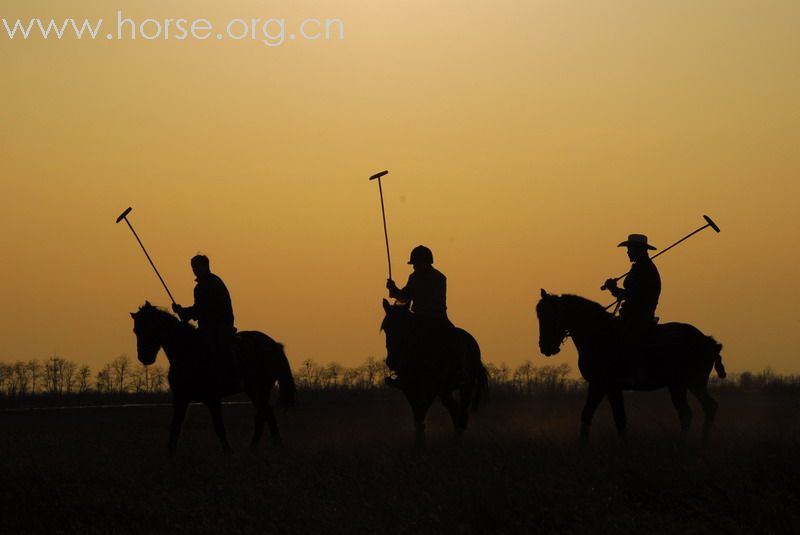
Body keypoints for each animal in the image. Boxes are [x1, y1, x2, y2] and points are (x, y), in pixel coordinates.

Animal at [130, 304, 296, 454]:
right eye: (136, 330)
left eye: (150, 327)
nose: (144, 357)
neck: (189, 351)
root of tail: (275, 345)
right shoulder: (180, 398)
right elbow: (175, 426)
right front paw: (170, 452)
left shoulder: (213, 399)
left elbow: (219, 427)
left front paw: (229, 452)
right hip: (254, 391)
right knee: (267, 413)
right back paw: (267, 446)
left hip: (260, 390)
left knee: (263, 415)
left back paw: (260, 447)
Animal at [380, 300, 488, 446]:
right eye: (386, 328)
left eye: (405, 328)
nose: (392, 361)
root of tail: (473, 342)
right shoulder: (409, 389)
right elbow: (418, 415)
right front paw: (419, 441)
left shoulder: (431, 389)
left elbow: (422, 411)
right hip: (445, 391)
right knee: (454, 408)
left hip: (466, 386)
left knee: (463, 411)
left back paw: (459, 437)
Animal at [536, 292, 728, 446]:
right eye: (539, 315)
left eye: (553, 315)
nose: (545, 347)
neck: (599, 335)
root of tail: (709, 342)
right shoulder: (597, 385)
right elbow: (587, 413)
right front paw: (582, 444)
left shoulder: (611, 387)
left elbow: (619, 418)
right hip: (683, 385)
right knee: (700, 409)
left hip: (688, 383)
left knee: (695, 410)